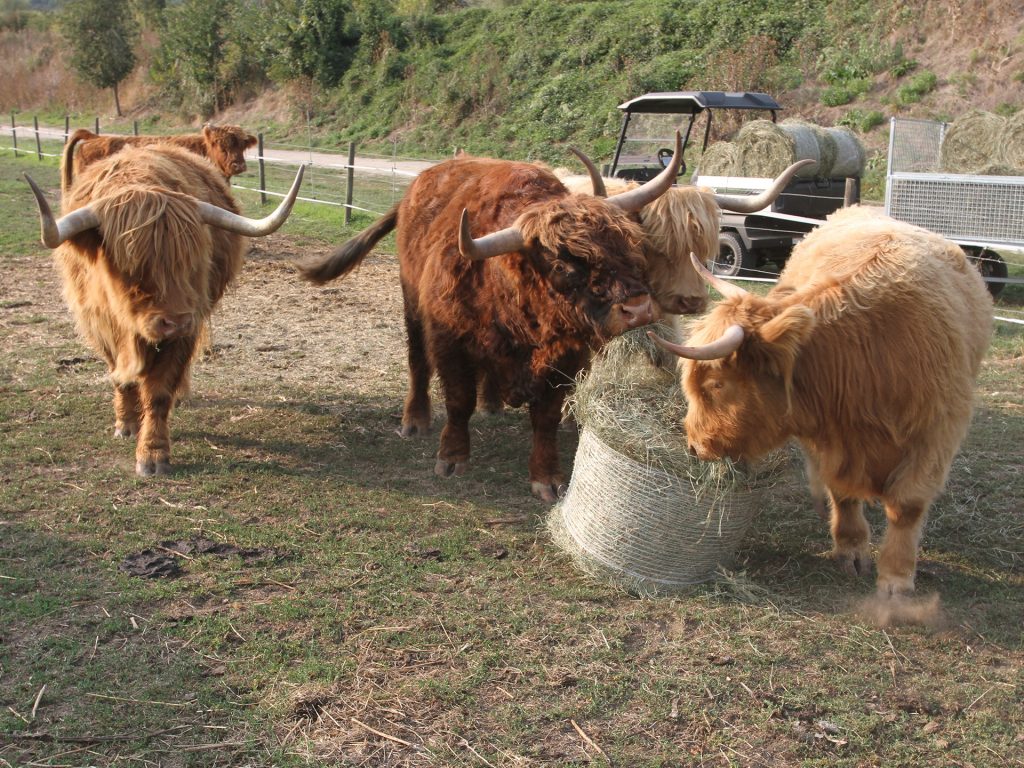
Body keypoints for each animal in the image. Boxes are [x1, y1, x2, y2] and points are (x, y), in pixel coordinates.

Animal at [26, 144, 304, 476]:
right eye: (131, 267)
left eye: (190, 261)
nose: (175, 322)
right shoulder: (100, 326)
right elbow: (120, 377)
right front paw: (126, 423)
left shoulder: (187, 328)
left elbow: (159, 393)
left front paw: (153, 454)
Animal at [299, 135, 686, 501]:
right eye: (563, 264)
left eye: (629, 244)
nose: (639, 309)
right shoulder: (450, 343)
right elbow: (458, 401)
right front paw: (452, 457)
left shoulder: (566, 356)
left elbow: (546, 418)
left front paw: (547, 478)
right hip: (411, 305)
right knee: (417, 362)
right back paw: (416, 420)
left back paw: (492, 403)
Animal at [648, 205, 993, 597]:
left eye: (717, 384)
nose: (694, 446)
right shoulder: (826, 436)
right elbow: (841, 491)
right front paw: (851, 550)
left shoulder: (936, 433)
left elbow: (906, 506)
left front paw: (896, 580)